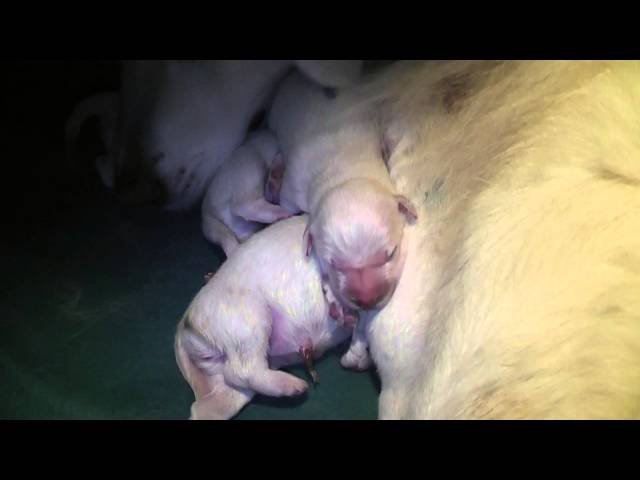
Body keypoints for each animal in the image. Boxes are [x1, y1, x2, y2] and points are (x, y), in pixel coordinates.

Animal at [174, 215, 352, 420]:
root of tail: (184, 324)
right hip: (248, 321)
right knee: (241, 372)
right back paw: (298, 386)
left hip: (221, 375)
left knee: (205, 406)